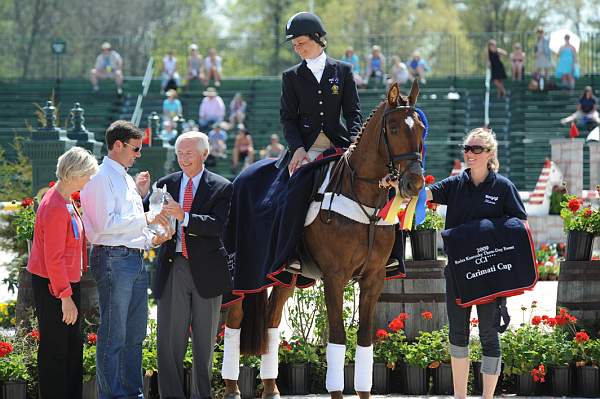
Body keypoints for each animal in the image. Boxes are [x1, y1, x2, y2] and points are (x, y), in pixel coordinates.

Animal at [223, 82, 424, 399]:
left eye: (420, 129)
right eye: (392, 128)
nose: (414, 183)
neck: (363, 198)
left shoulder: (374, 278)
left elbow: (364, 340)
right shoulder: (335, 276)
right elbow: (338, 337)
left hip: (284, 276)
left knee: (271, 321)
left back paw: (271, 388)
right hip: (244, 275)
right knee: (234, 320)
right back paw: (232, 388)